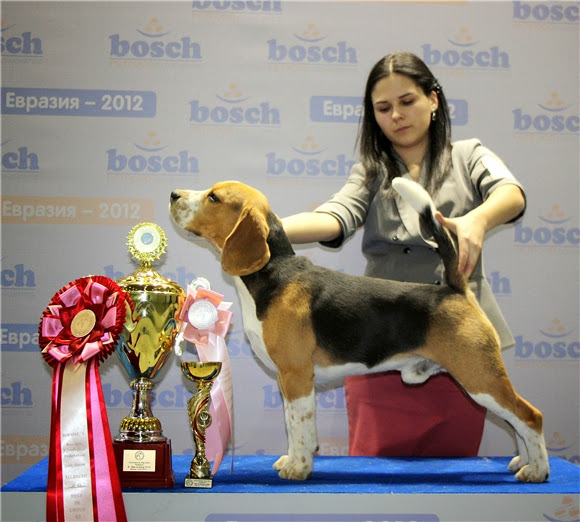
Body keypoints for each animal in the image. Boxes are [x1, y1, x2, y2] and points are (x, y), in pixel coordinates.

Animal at [170, 177, 552, 482]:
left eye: (214, 198)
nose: (174, 194)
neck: (272, 273)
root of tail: (454, 289)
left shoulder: (296, 375)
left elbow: (301, 426)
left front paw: (299, 468)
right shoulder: (287, 379)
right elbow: (292, 426)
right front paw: (291, 460)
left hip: (479, 376)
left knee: (530, 416)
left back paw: (537, 470)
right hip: (482, 378)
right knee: (517, 420)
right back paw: (522, 461)